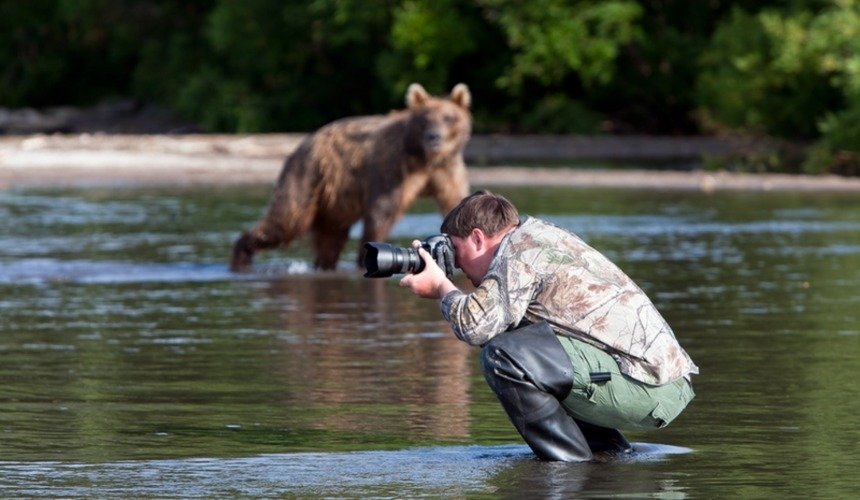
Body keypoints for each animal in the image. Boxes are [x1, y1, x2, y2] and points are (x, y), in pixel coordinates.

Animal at [230, 82, 470, 272]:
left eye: (449, 118)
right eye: (425, 119)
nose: (434, 137)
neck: (424, 158)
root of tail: (301, 145)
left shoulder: (446, 171)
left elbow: (454, 201)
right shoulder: (393, 169)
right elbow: (381, 212)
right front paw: (365, 258)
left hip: (334, 201)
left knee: (330, 238)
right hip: (307, 177)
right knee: (286, 221)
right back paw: (241, 257)